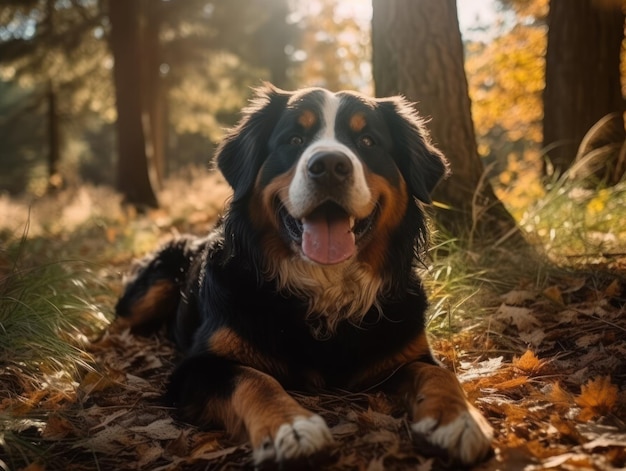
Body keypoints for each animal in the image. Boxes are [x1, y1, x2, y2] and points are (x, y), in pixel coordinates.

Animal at [116, 85, 492, 468]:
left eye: (367, 141)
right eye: (294, 139)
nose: (329, 166)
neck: (325, 286)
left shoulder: (405, 355)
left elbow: (440, 373)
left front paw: (458, 420)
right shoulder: (197, 367)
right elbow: (253, 379)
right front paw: (291, 428)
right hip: (147, 294)